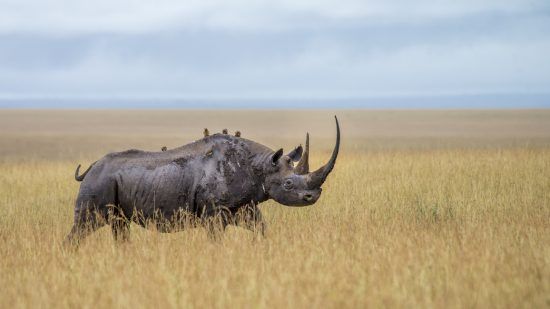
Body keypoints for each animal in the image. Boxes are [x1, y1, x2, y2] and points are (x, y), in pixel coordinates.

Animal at [65, 115, 340, 243]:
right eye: (288, 184)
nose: (313, 196)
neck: (260, 167)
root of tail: (90, 168)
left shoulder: (244, 206)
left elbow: (261, 228)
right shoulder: (214, 212)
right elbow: (216, 239)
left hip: (111, 183)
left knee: (119, 226)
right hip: (98, 182)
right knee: (84, 226)